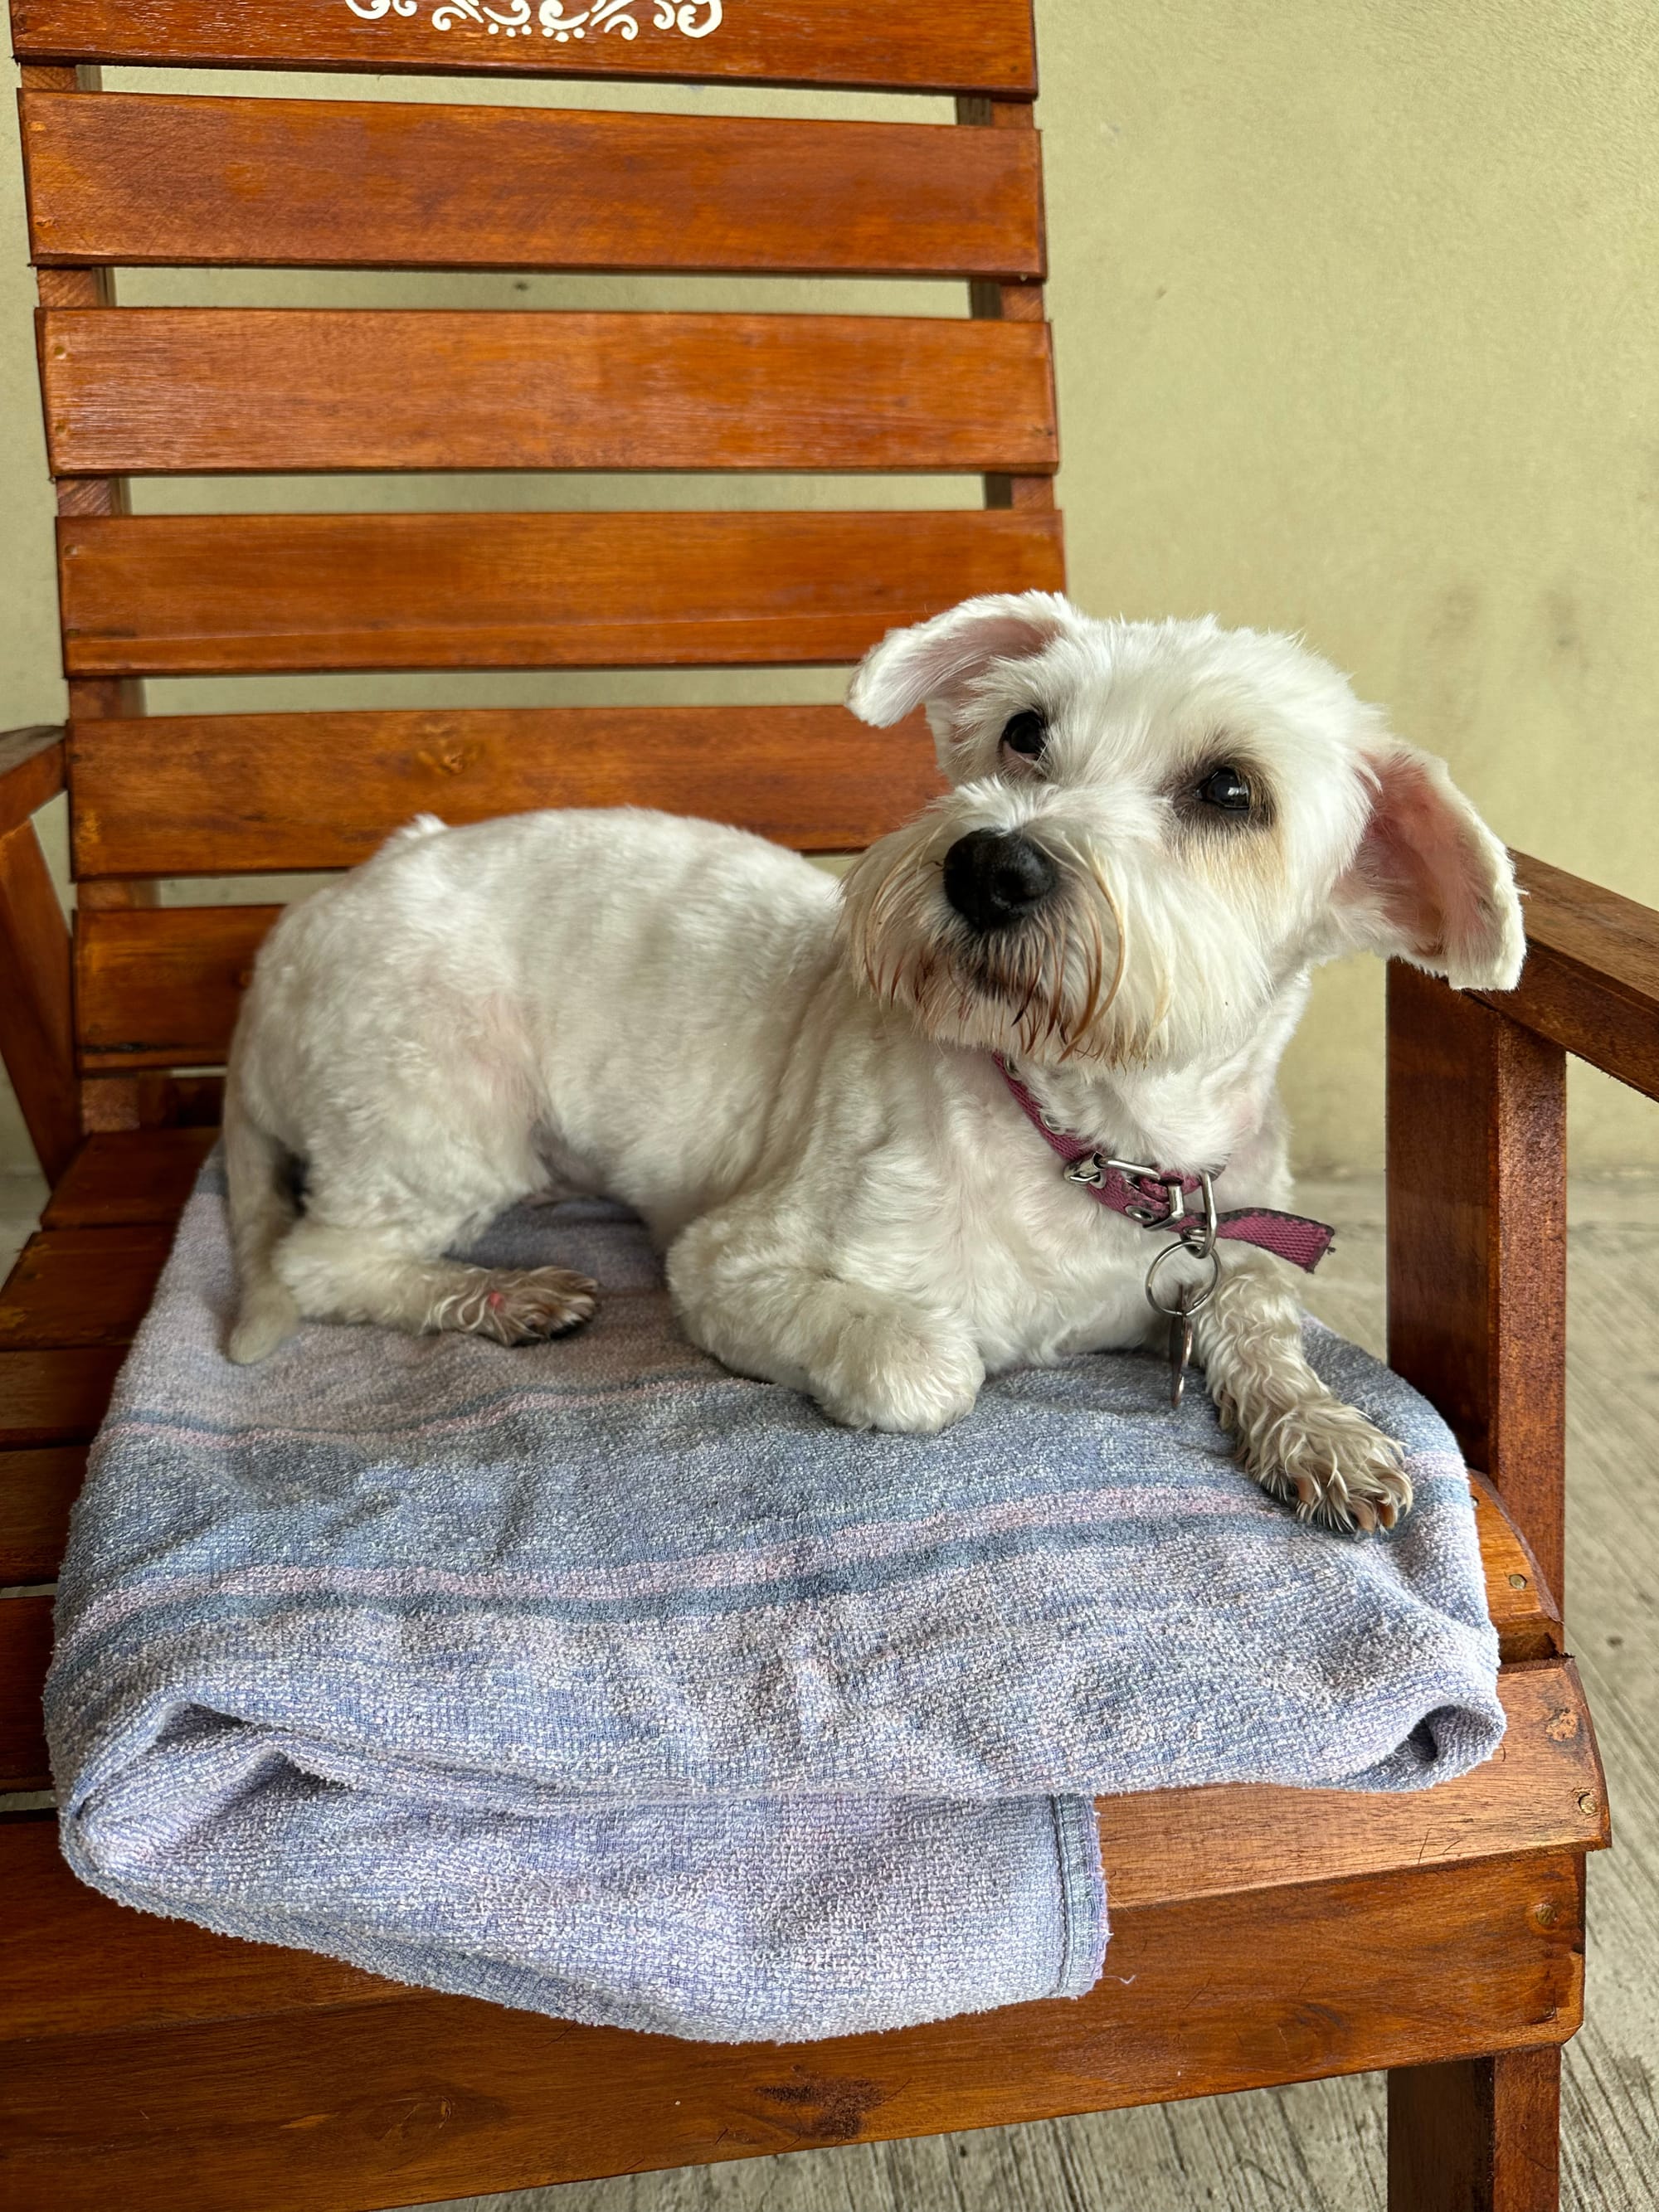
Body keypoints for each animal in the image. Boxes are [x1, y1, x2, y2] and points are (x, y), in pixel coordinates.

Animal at [227, 597, 1530, 1548]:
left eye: (1229, 790)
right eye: (1024, 732)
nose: (992, 866)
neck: (1093, 1138)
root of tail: (304, 923)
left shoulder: (1242, 1234)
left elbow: (1260, 1320)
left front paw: (1319, 1428)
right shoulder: (732, 1261)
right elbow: (929, 1359)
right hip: (445, 1099)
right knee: (325, 1259)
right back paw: (498, 1295)